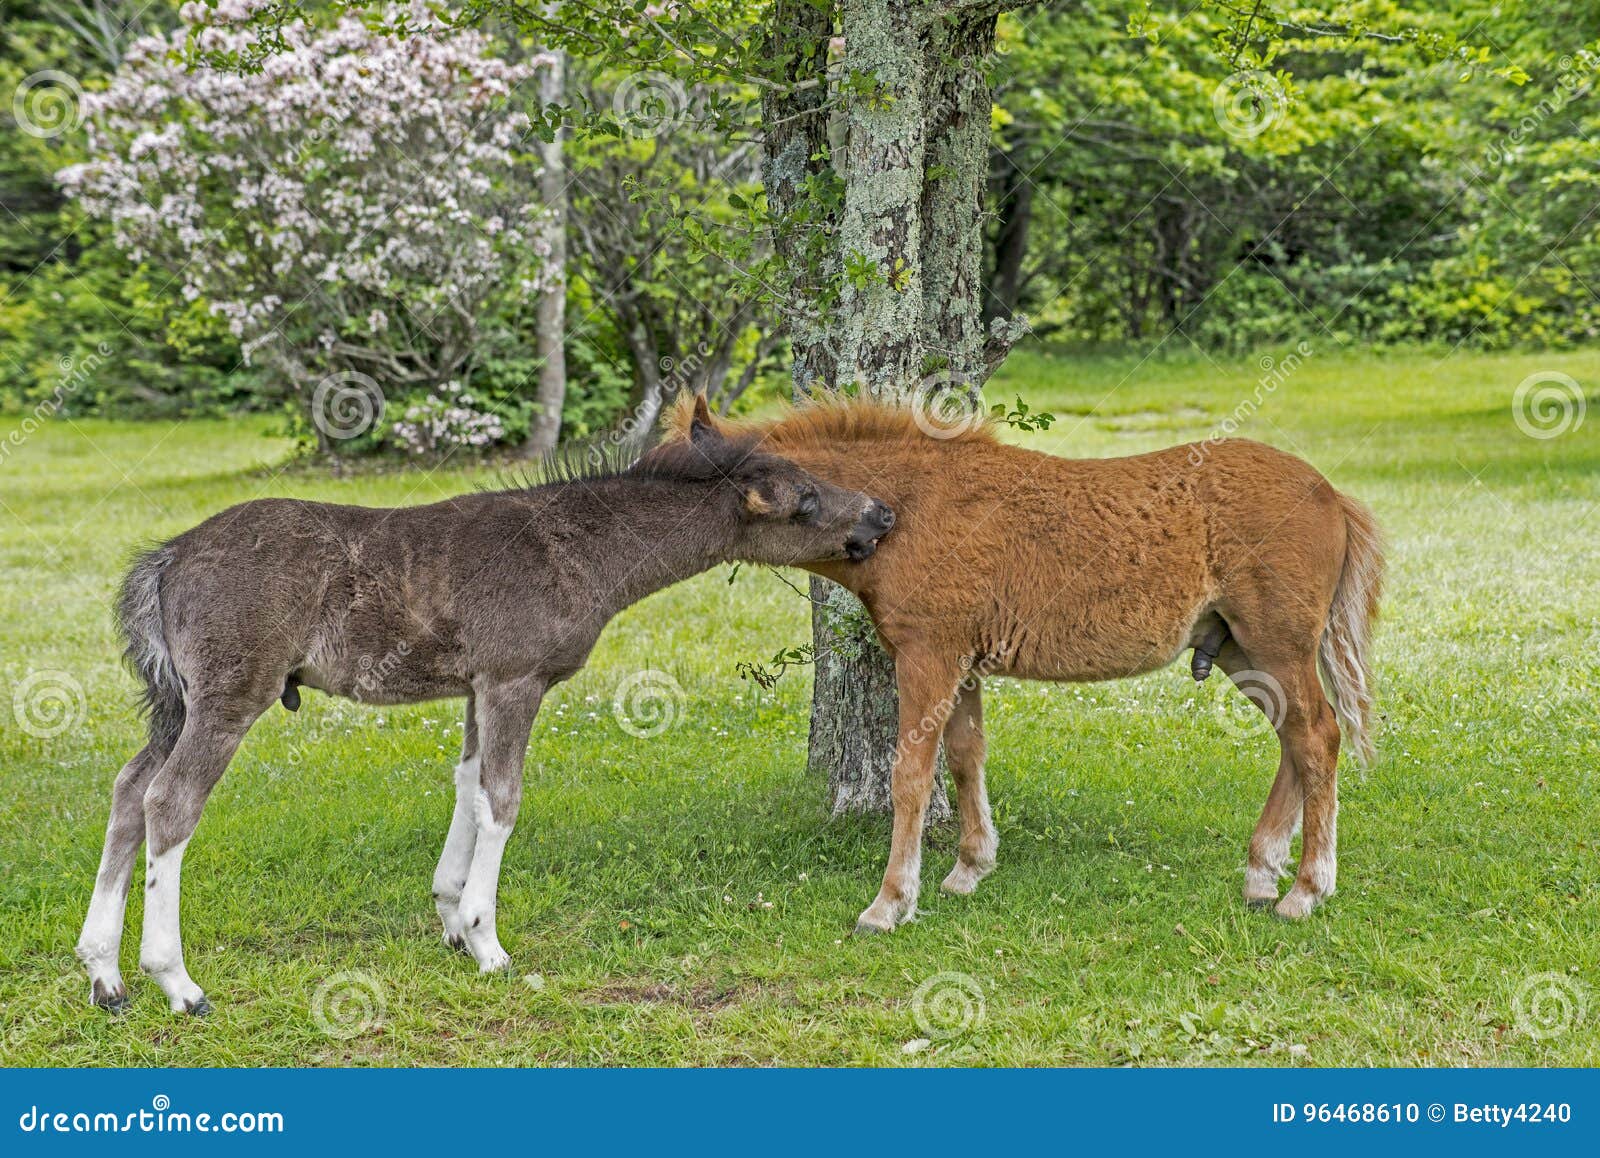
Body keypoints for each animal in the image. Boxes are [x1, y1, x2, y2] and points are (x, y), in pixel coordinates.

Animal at [668, 398, 1382, 934]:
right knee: (1296, 740)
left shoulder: (927, 655)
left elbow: (911, 776)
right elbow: (965, 758)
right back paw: (1263, 871)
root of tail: (1328, 492)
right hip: (1242, 651)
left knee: (1317, 737)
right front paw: (968, 869)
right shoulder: (961, 663)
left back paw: (1306, 889)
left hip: (1276, 646)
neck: (912, 505)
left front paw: (890, 902)